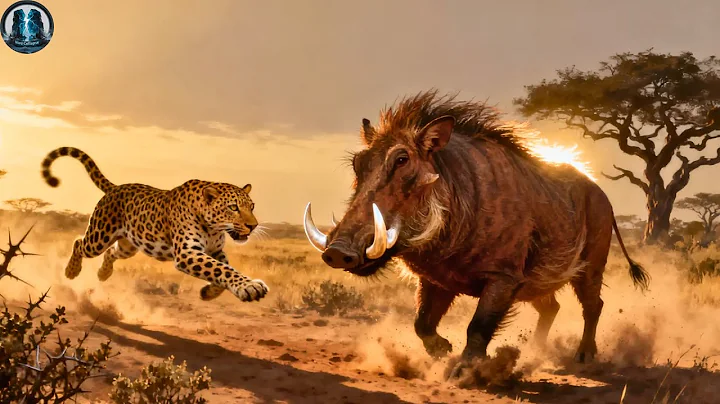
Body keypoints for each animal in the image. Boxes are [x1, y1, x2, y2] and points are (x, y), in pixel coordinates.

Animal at [40, 146, 268, 303]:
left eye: (252, 206)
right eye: (233, 207)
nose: (253, 226)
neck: (213, 228)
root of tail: (115, 187)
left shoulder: (214, 250)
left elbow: (224, 267)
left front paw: (208, 293)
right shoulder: (187, 252)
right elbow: (222, 269)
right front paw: (250, 286)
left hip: (129, 246)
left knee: (111, 253)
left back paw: (103, 274)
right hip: (99, 237)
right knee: (80, 243)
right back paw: (71, 271)